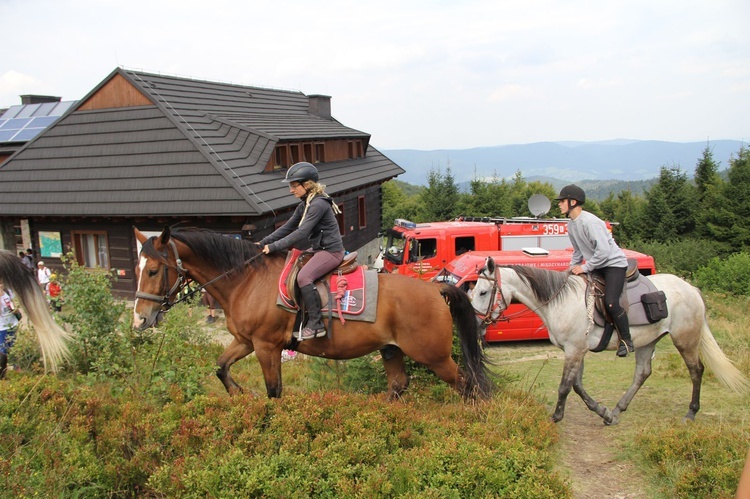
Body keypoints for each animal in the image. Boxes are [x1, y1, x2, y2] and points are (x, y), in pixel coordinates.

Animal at [134, 229, 494, 400]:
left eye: (152, 270)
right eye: (138, 269)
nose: (140, 319)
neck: (246, 280)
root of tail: (435, 290)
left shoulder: (266, 347)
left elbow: (274, 391)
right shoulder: (246, 342)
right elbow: (221, 368)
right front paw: (240, 393)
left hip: (434, 357)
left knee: (466, 385)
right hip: (392, 350)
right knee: (398, 384)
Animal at [472, 258, 748, 426]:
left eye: (483, 292)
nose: (474, 322)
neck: (560, 301)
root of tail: (691, 289)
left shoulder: (574, 350)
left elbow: (564, 387)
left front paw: (556, 417)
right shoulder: (578, 350)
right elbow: (578, 386)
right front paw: (602, 411)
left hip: (685, 340)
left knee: (696, 370)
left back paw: (691, 412)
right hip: (648, 341)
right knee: (642, 373)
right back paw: (616, 411)